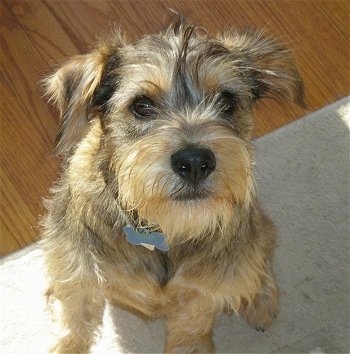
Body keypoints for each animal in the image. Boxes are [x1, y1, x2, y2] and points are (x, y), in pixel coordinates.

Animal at [40, 19, 304, 354]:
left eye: (226, 100)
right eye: (141, 105)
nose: (195, 162)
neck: (162, 229)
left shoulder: (201, 296)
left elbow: (190, 332)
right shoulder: (76, 281)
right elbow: (72, 327)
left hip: (253, 231)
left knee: (260, 254)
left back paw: (260, 300)